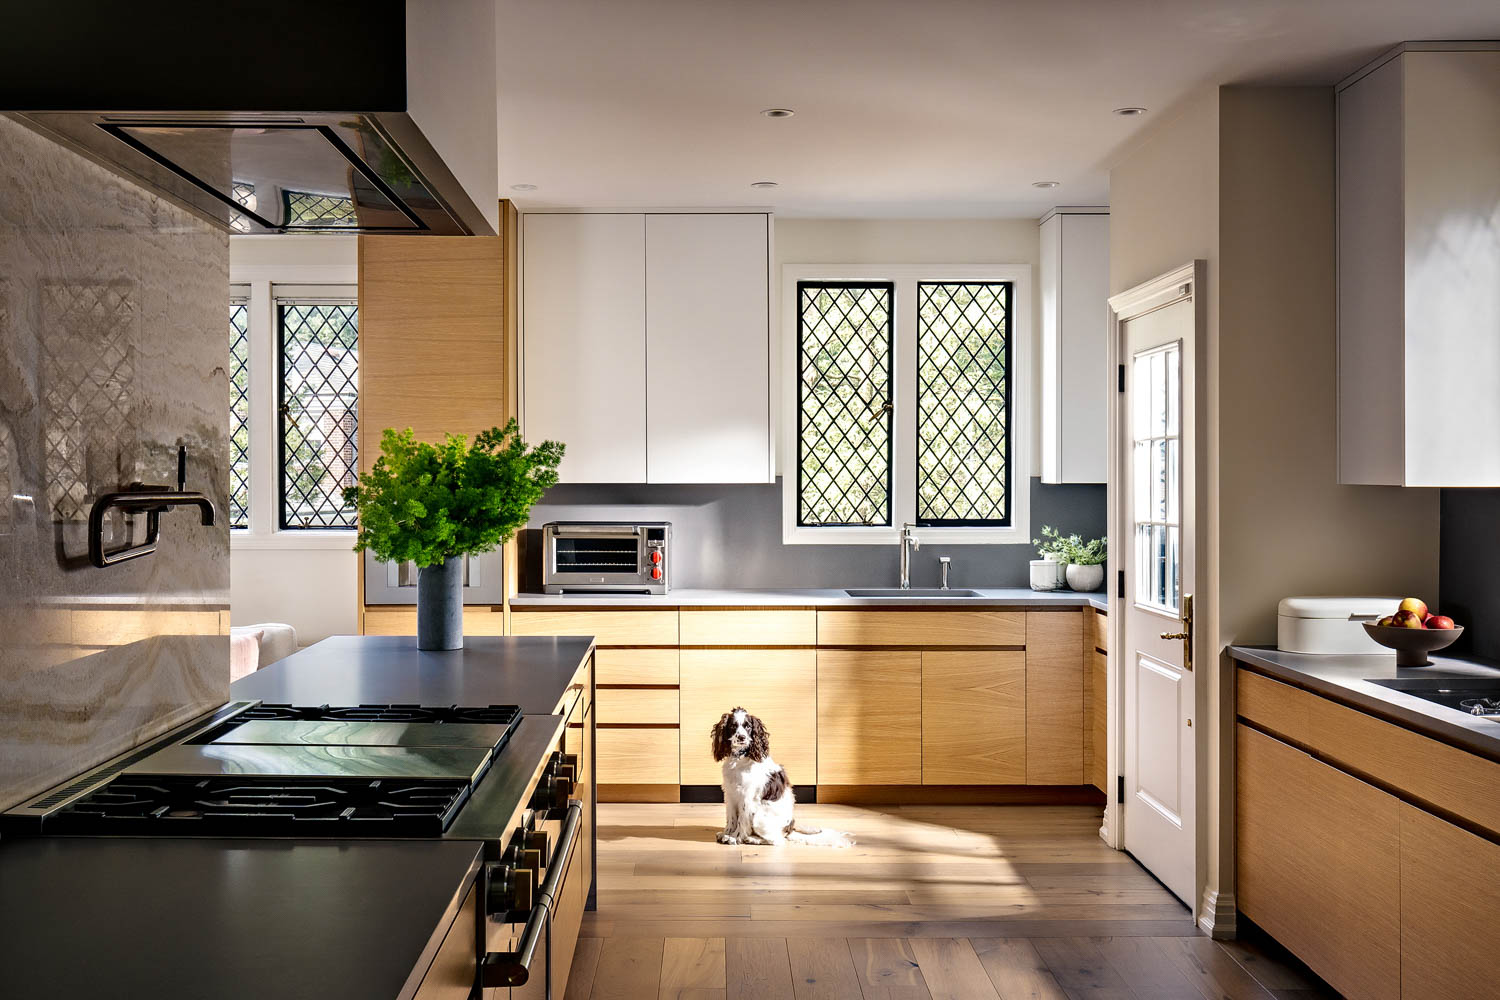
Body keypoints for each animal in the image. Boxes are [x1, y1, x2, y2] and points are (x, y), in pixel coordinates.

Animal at [708, 707, 852, 851]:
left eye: (748, 726)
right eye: (733, 726)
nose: (742, 737)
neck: (740, 759)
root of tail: (790, 830)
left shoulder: (747, 797)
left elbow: (741, 820)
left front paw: (735, 837)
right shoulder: (730, 794)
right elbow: (731, 817)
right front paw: (726, 834)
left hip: (759, 818)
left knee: (777, 840)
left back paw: (752, 839)